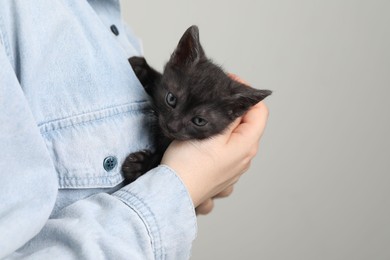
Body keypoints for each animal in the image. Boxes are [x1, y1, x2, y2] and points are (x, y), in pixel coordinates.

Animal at [122, 24, 272, 183]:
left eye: (199, 121)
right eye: (171, 99)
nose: (172, 126)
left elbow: (160, 158)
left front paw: (140, 165)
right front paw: (141, 68)